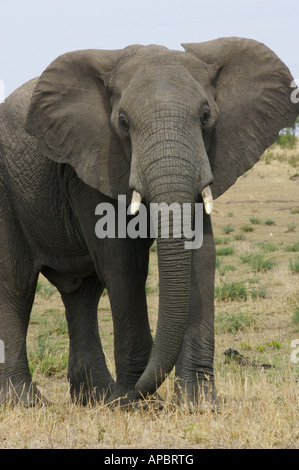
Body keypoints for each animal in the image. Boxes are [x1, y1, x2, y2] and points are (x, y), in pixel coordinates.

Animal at [0, 37, 298, 408]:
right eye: (123, 122)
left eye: (205, 117)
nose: (130, 396)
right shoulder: (93, 160)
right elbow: (123, 263)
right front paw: (135, 404)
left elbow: (202, 257)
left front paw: (198, 404)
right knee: (16, 284)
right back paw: (28, 402)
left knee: (82, 294)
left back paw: (97, 397)